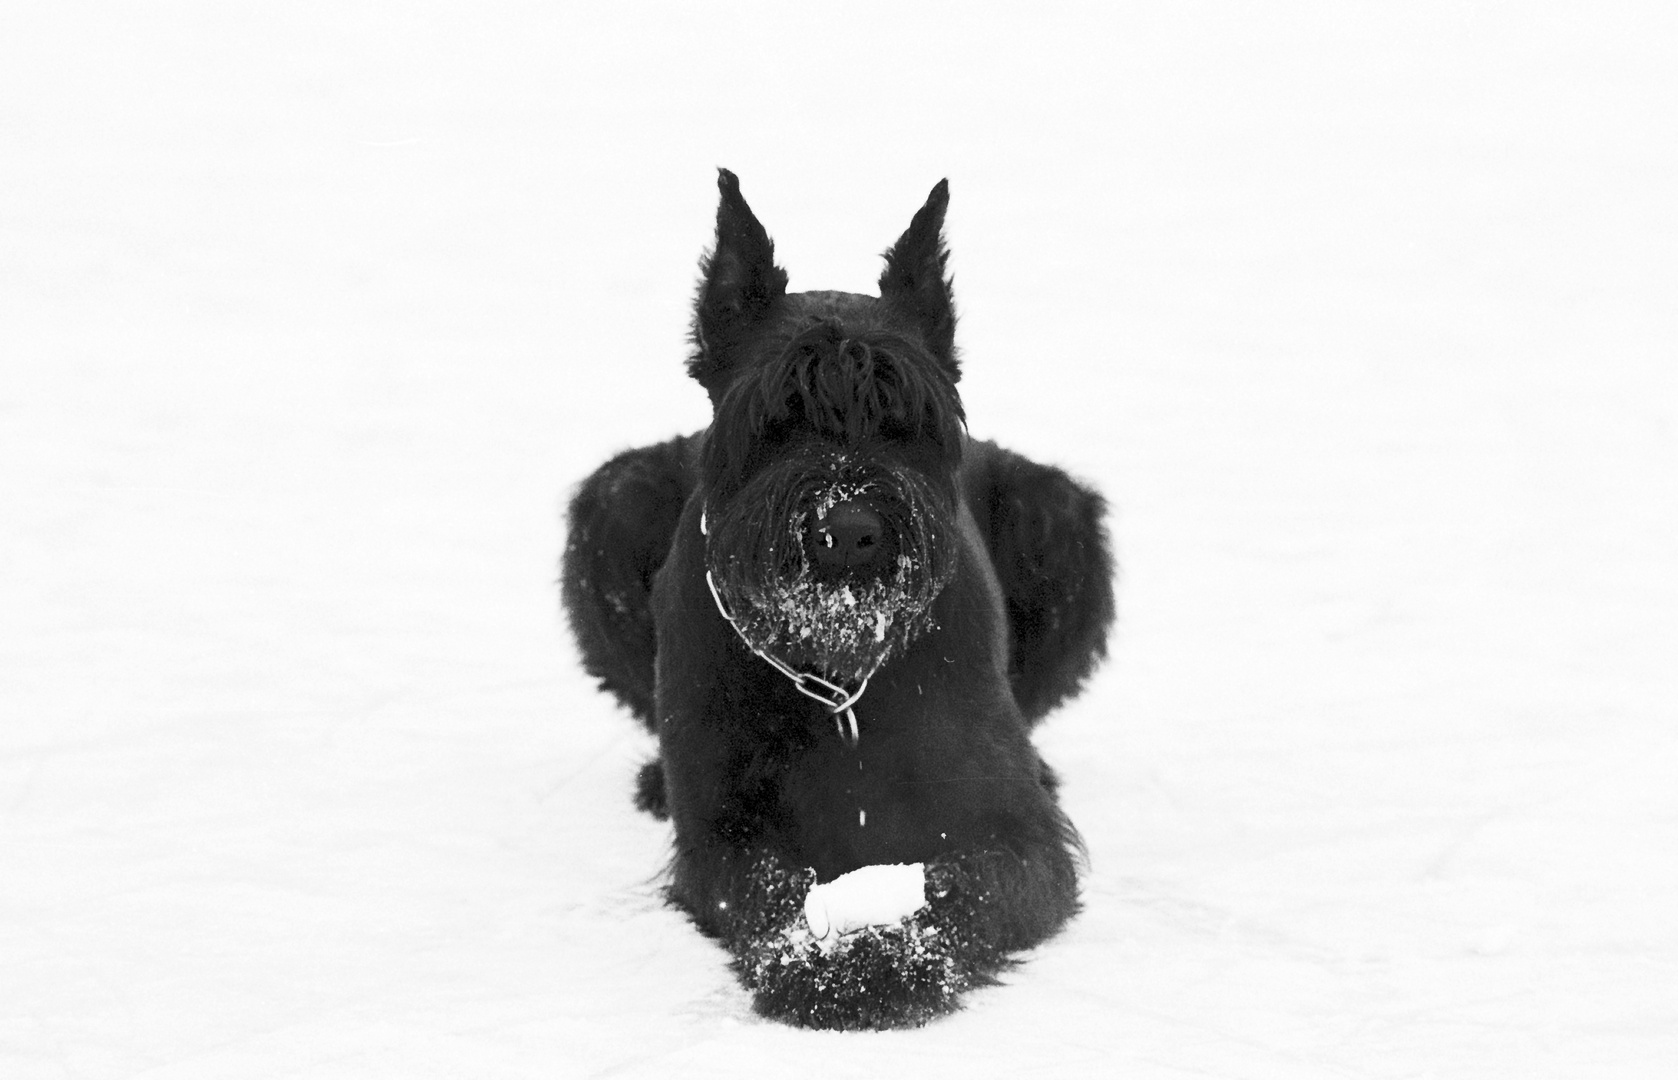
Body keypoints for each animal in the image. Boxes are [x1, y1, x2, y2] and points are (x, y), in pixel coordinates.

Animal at [563, 171, 1114, 1026]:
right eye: (776, 417)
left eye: (904, 417)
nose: (848, 531)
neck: (834, 683)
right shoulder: (723, 833)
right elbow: (769, 892)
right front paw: (826, 973)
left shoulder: (1013, 831)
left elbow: (960, 890)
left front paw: (884, 967)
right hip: (613, 497)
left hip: (1058, 513)